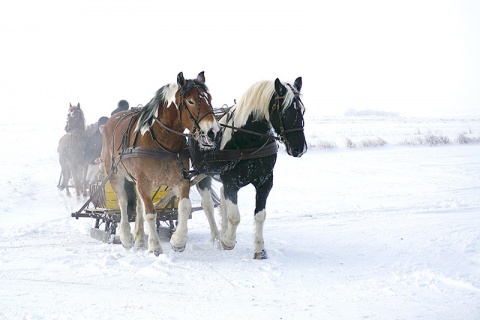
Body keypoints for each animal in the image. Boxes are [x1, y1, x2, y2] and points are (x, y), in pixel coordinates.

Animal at [102, 72, 221, 255]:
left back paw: (139, 238)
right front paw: (155, 247)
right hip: (115, 173)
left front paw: (178, 241)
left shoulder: (180, 179)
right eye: (191, 101)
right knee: (122, 201)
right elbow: (150, 213)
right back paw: (126, 237)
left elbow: (184, 206)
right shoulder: (143, 182)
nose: (213, 132)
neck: (162, 141)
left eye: (209, 98)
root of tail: (111, 121)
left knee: (138, 206)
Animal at [193, 77, 306, 260]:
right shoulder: (231, 183)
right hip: (202, 175)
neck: (248, 140)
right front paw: (227, 241)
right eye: (286, 113)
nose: (299, 149)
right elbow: (234, 216)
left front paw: (260, 249)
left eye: (303, 110)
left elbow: (260, 215)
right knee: (208, 205)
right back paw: (217, 237)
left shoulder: (265, 182)